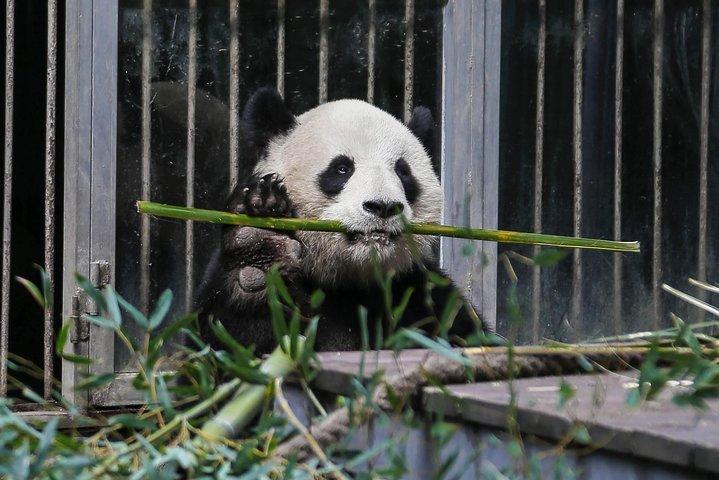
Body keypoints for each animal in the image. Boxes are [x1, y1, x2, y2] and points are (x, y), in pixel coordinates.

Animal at [196, 87, 482, 353]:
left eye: (403, 172)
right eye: (342, 168)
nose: (383, 206)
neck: (350, 280)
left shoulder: (420, 293)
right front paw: (259, 249)